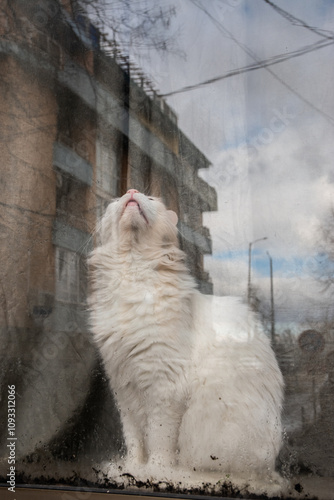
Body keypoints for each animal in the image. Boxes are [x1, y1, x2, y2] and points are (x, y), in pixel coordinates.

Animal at [88, 189, 284, 490]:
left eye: (151, 200)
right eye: (118, 199)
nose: (132, 192)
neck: (133, 275)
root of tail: (270, 468)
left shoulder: (164, 388)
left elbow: (158, 443)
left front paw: (152, 473)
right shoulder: (124, 388)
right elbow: (134, 442)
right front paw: (131, 469)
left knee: (217, 473)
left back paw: (182, 477)